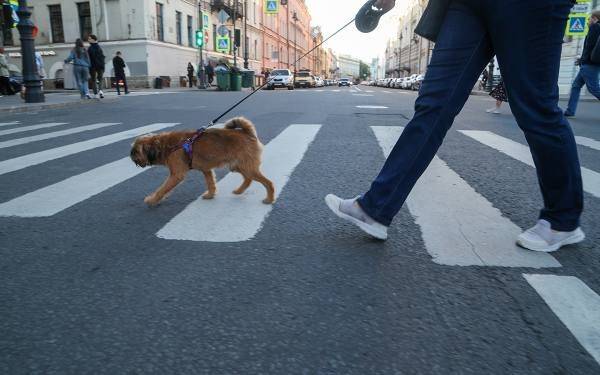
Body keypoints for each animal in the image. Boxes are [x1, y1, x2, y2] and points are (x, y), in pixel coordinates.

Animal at [130, 117, 276, 206]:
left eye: (135, 151)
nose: (131, 156)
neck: (165, 145)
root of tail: (247, 133)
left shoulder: (176, 175)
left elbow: (162, 189)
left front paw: (152, 199)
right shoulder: (206, 170)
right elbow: (211, 183)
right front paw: (210, 195)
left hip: (247, 167)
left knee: (268, 183)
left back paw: (269, 199)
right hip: (238, 166)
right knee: (248, 179)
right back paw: (239, 191)